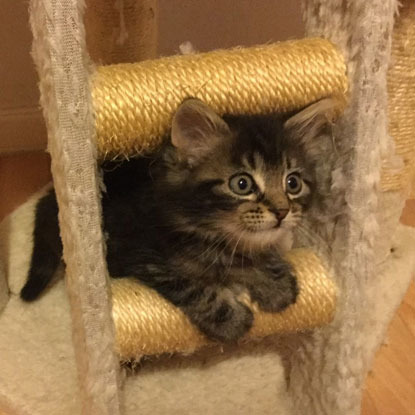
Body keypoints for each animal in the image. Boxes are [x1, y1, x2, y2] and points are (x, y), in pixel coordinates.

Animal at [21, 98, 336, 344]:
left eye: (292, 183)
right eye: (242, 184)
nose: (282, 211)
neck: (204, 226)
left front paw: (274, 280)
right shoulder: (139, 254)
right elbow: (189, 284)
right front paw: (230, 319)